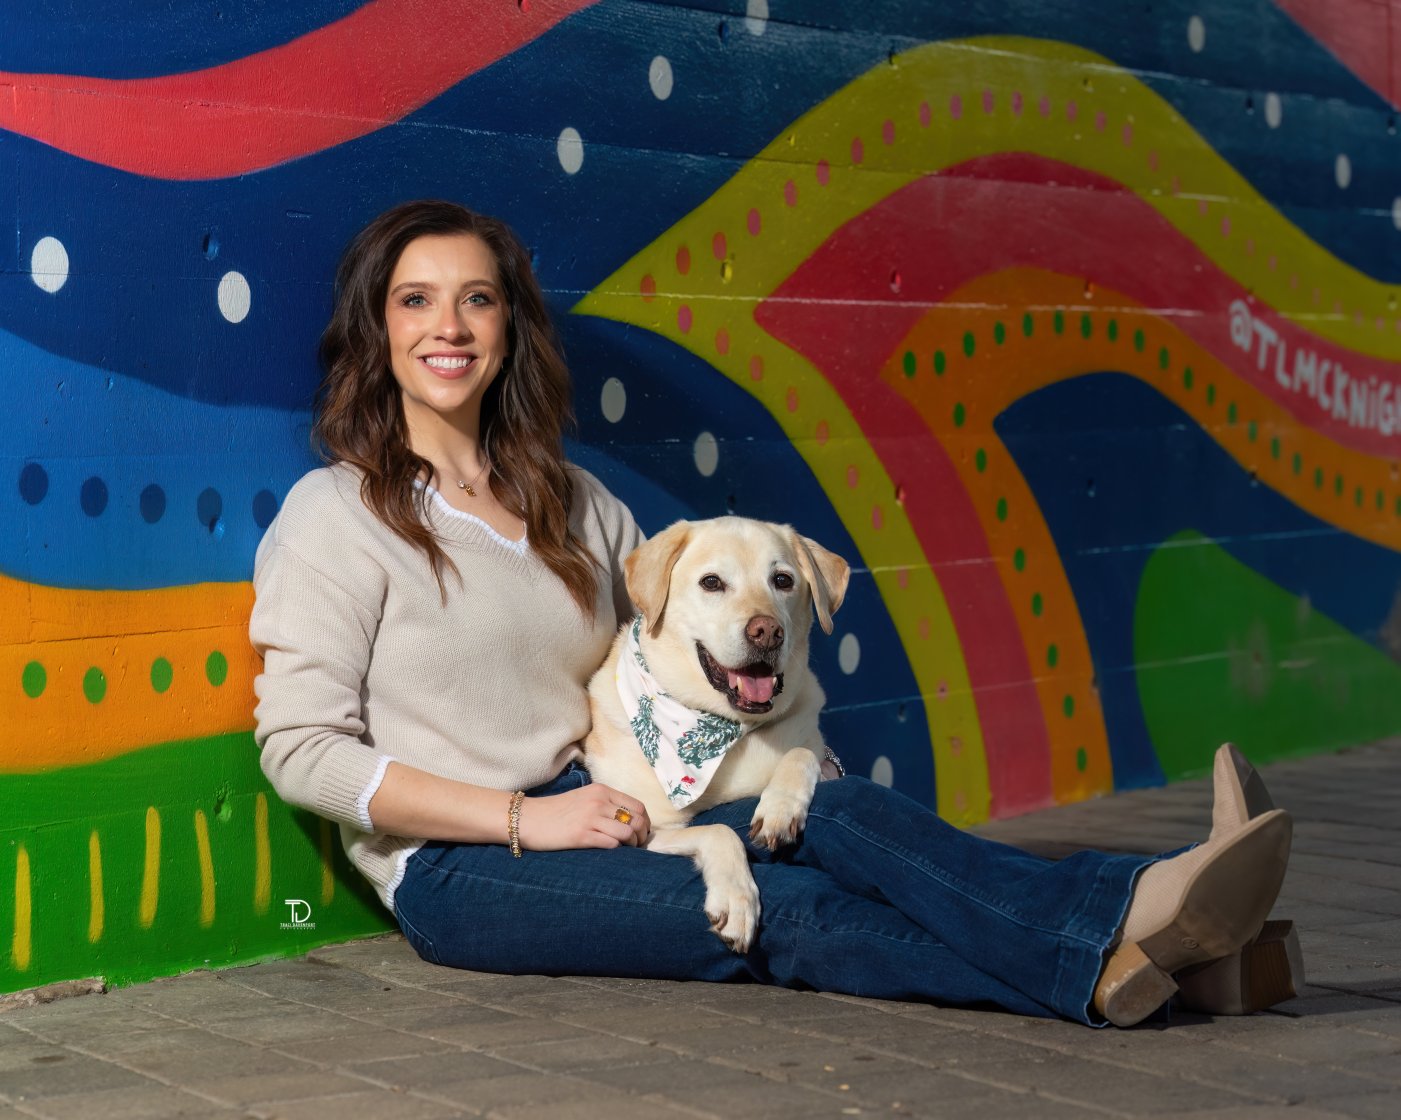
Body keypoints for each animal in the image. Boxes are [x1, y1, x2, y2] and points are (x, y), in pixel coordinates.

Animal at [583, 516, 849, 952]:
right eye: (712, 582)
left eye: (782, 580)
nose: (767, 631)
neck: (725, 726)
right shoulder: (644, 830)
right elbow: (720, 830)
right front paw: (736, 900)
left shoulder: (819, 755)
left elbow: (801, 754)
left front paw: (780, 809)